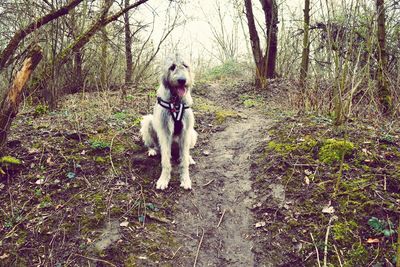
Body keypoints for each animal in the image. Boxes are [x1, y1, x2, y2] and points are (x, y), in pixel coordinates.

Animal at [140, 54, 198, 191]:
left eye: (185, 65)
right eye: (172, 67)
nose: (182, 80)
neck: (176, 101)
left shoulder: (186, 131)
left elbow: (184, 162)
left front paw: (185, 179)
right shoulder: (165, 132)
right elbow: (166, 160)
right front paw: (164, 180)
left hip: (192, 133)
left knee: (185, 152)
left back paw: (189, 157)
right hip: (148, 122)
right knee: (154, 145)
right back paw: (152, 150)